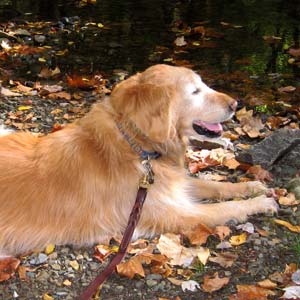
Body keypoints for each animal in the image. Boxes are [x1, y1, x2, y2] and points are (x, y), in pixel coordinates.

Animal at [0, 64, 278, 256]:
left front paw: (251, 187)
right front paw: (260, 203)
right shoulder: (176, 213)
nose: (235, 104)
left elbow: (214, 185)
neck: (138, 147)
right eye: (195, 91)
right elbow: (226, 208)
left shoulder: (174, 186)